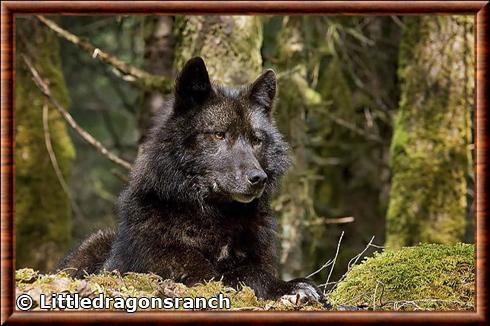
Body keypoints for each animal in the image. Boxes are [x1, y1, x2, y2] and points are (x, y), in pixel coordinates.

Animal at [60, 57, 322, 302]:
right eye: (219, 135)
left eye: (256, 140)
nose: (258, 178)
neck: (216, 219)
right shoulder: (181, 271)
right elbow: (235, 277)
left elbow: (255, 272)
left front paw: (294, 285)